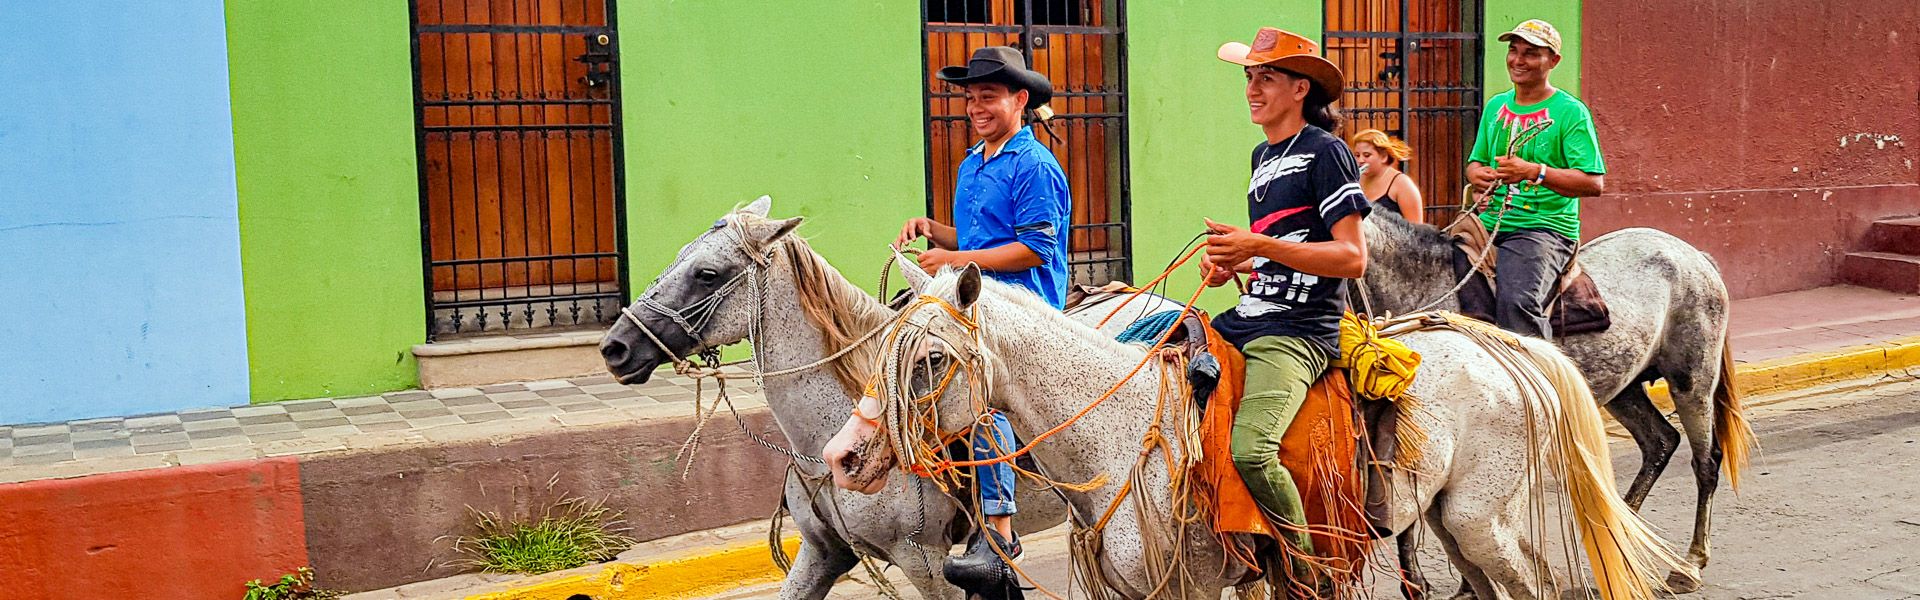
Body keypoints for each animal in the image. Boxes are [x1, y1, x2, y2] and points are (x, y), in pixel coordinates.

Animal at [821, 265, 1681, 600]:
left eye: (931, 360)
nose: (843, 456)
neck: (1114, 432)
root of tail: (1495, 342)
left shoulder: (1192, 585)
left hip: (1476, 518)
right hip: (1456, 520)